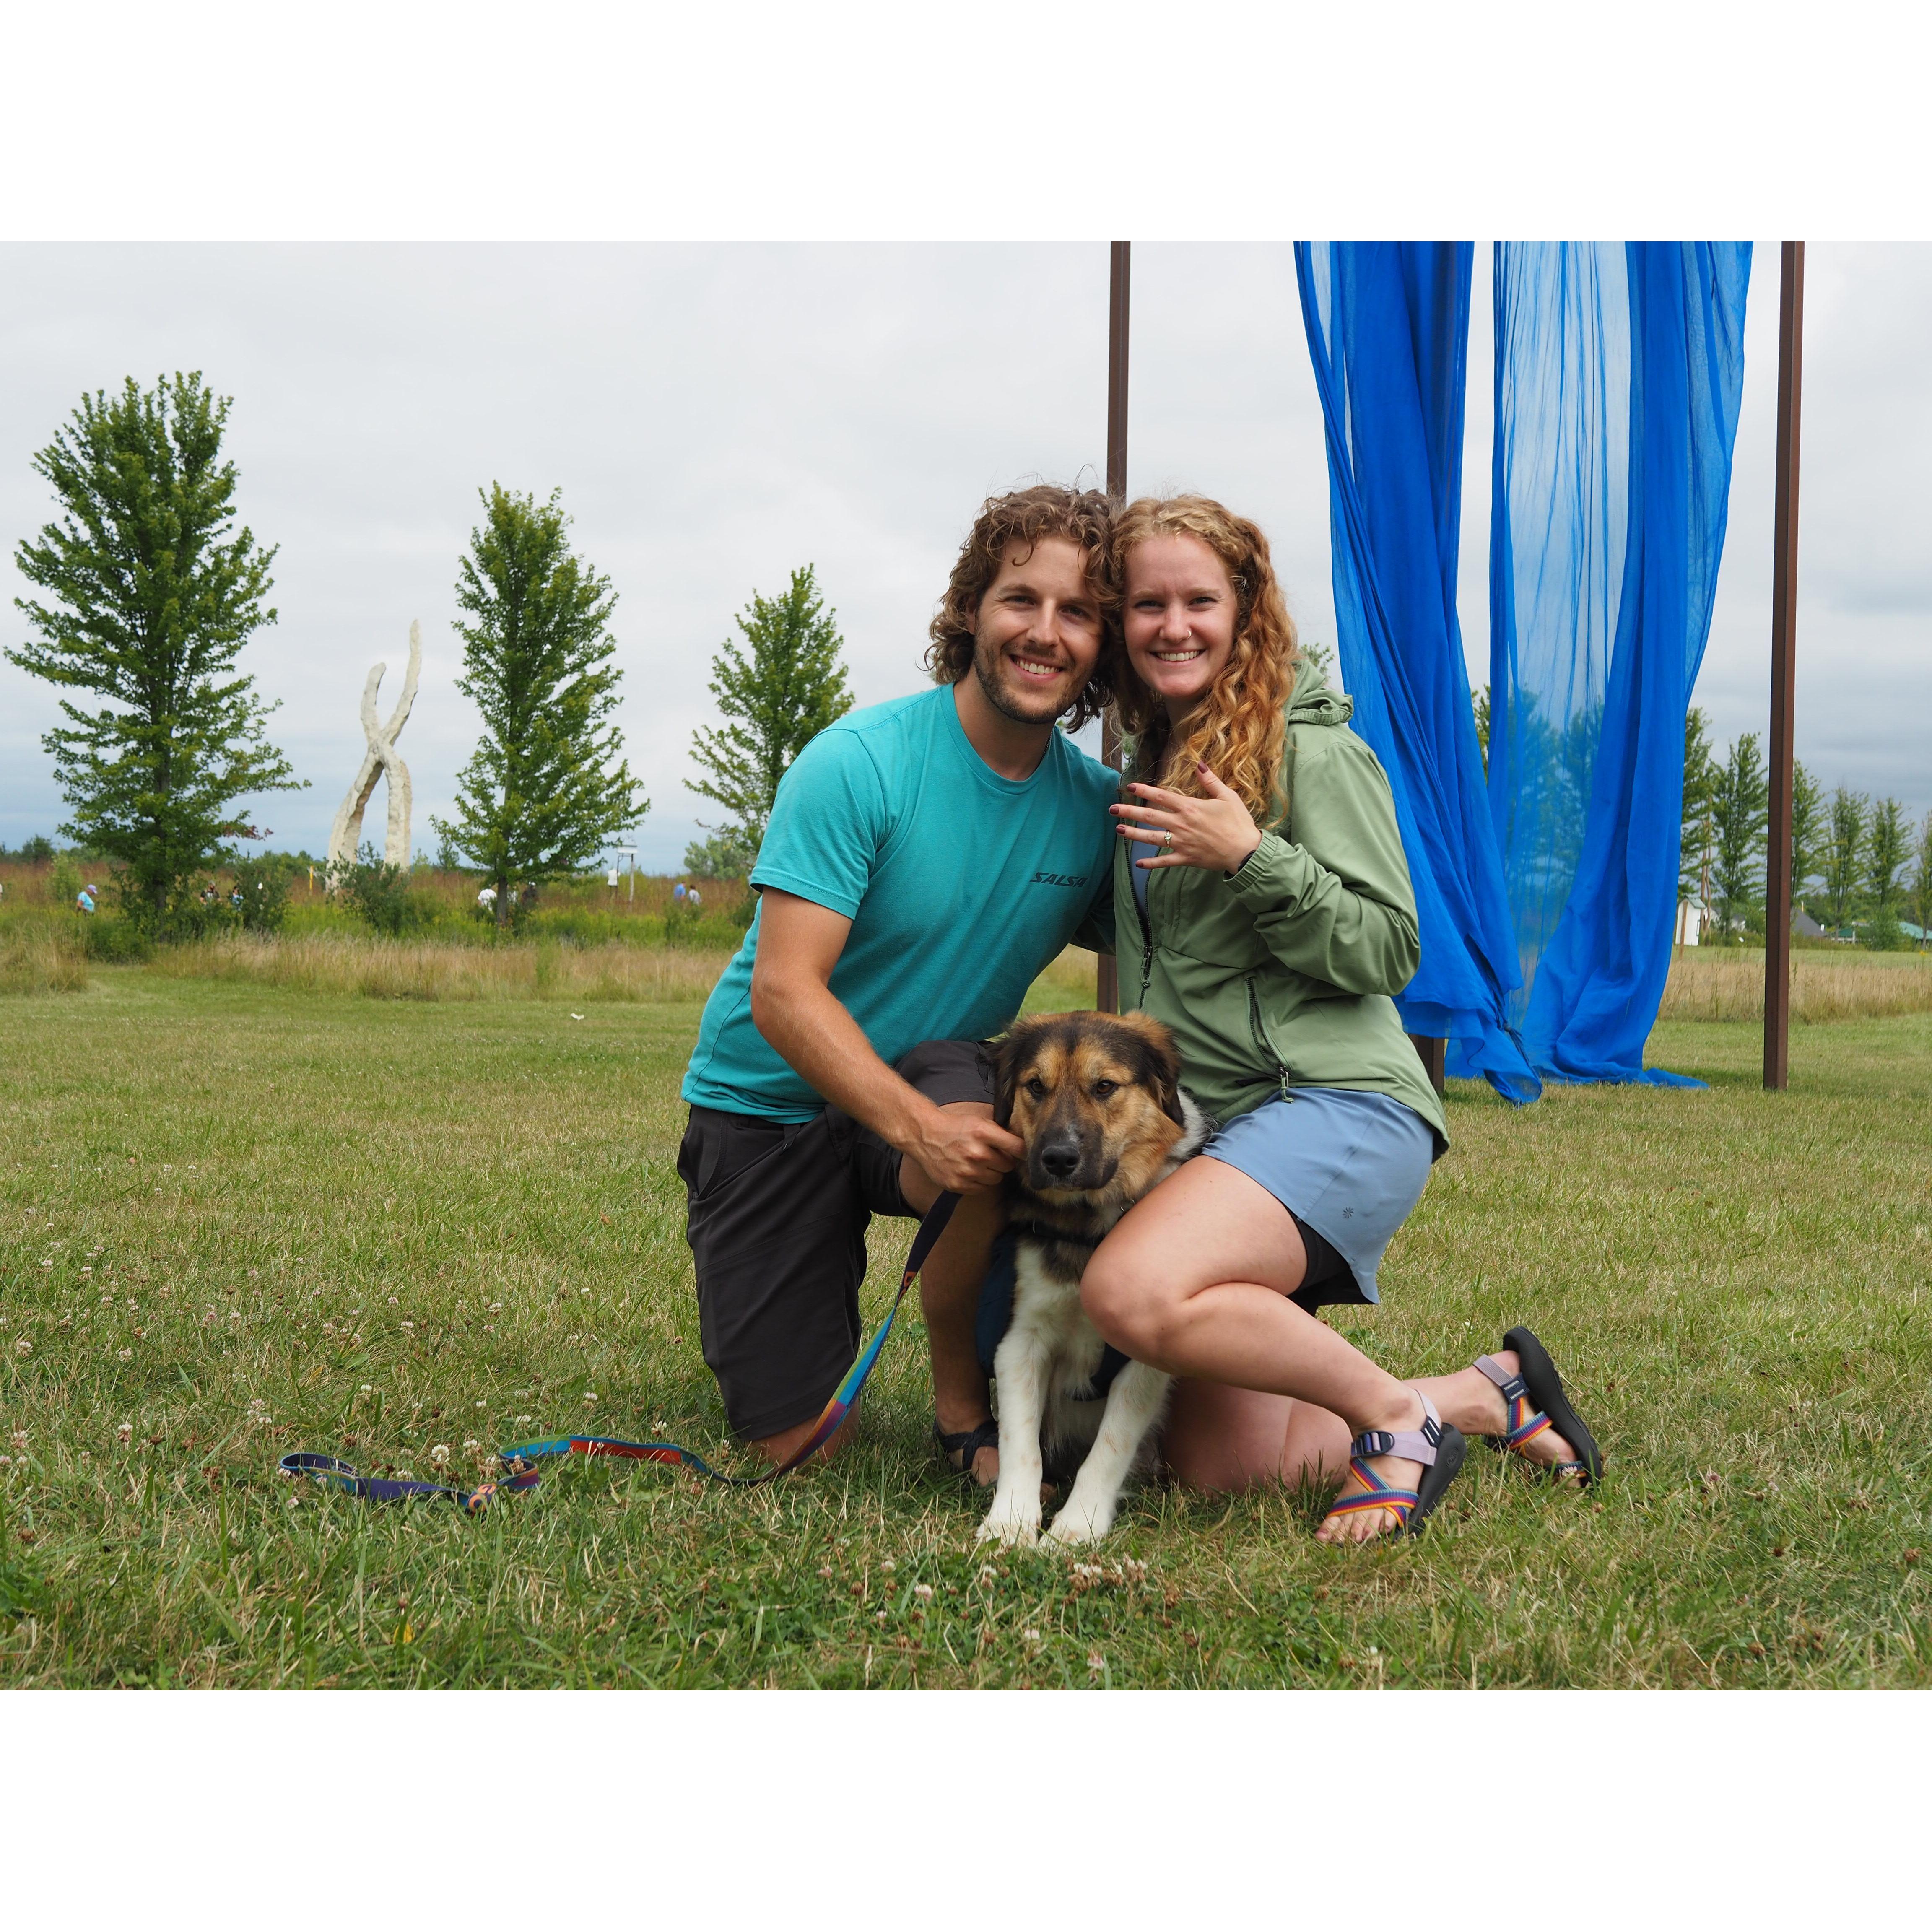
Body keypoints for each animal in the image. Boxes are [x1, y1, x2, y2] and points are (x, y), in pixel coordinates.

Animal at [981, 1005, 1205, 1545]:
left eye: (1104, 1087)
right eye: (1035, 1086)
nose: (1058, 1160)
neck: (1091, 1228)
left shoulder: (1141, 1357)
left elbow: (1110, 1447)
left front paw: (1075, 1528)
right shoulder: (1022, 1340)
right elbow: (1021, 1443)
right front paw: (1010, 1522)